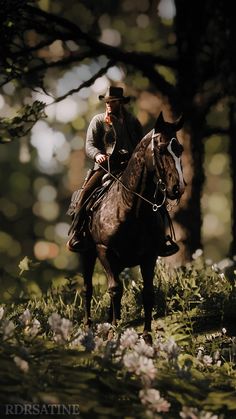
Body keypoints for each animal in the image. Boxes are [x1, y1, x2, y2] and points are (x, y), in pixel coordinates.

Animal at [76, 112, 185, 334]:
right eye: (161, 149)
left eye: (180, 149)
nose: (177, 188)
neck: (130, 207)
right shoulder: (104, 251)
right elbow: (114, 289)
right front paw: (113, 331)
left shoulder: (150, 255)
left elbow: (148, 293)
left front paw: (146, 334)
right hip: (87, 253)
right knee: (88, 288)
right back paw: (89, 325)